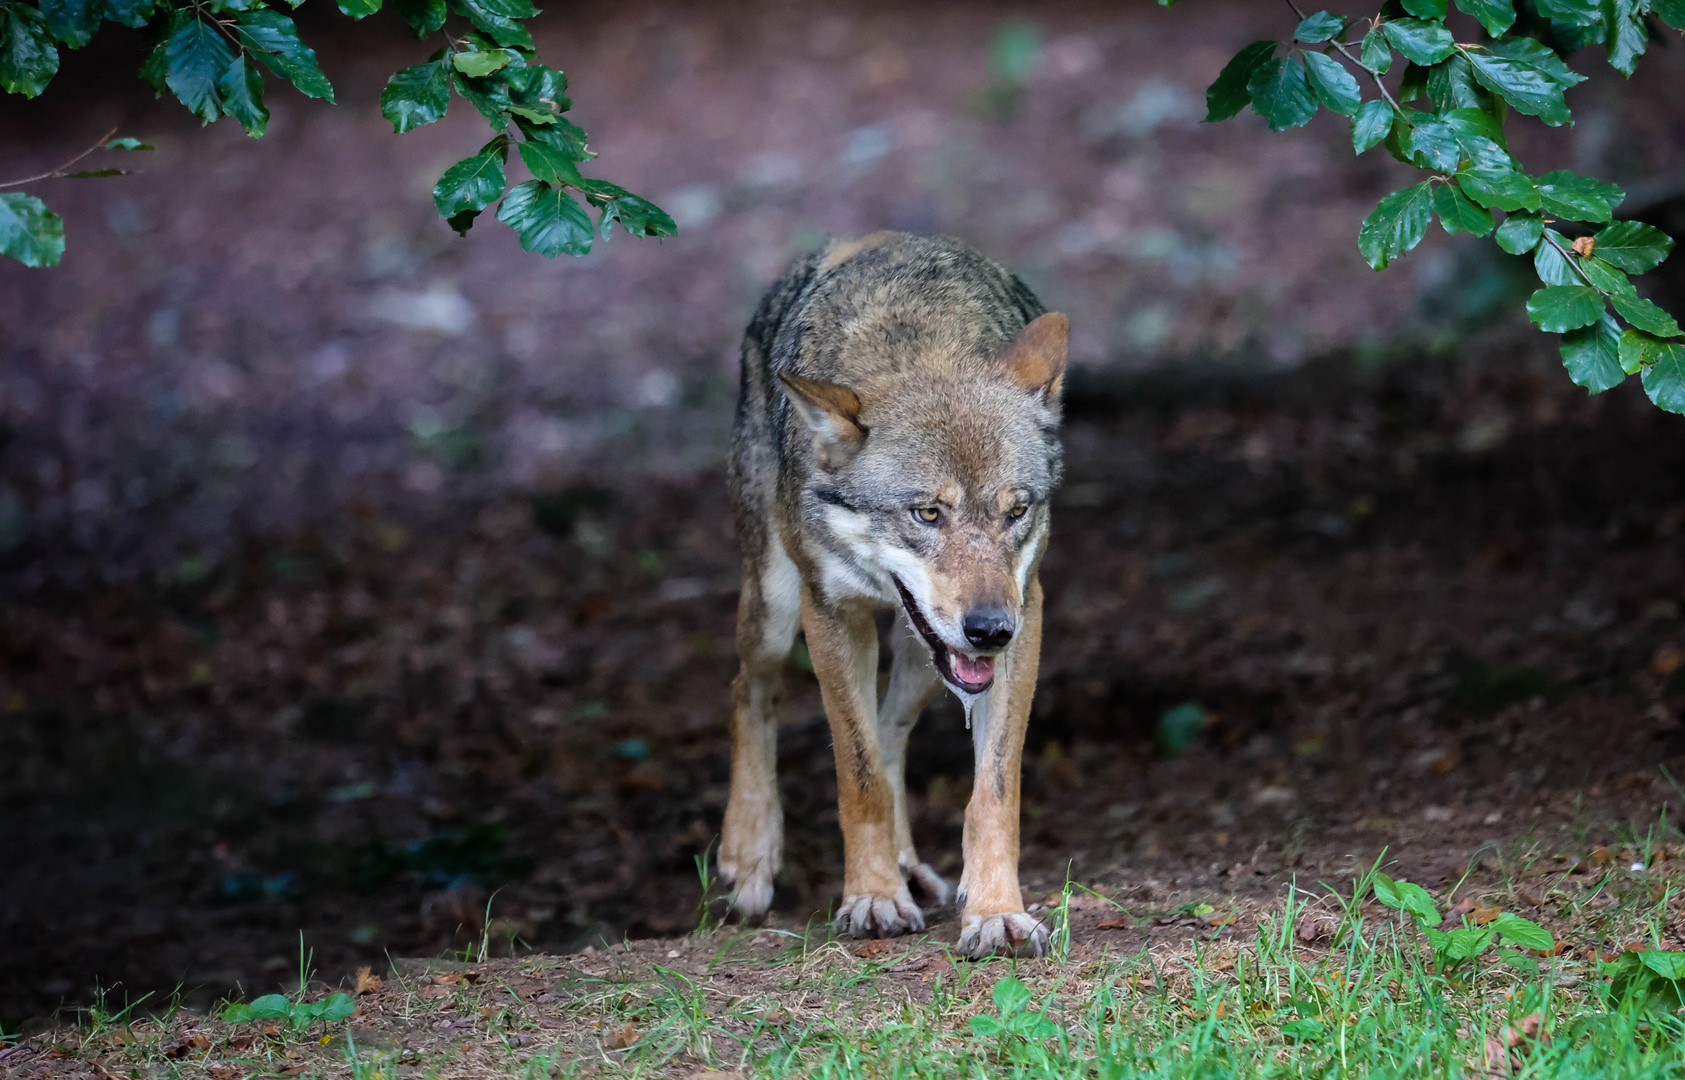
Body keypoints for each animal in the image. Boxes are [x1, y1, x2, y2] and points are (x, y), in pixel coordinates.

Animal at [714, 232, 1064, 957]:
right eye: (927, 513)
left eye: (1015, 512)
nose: (990, 630)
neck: (922, 343)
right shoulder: (831, 612)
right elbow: (860, 774)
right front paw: (871, 900)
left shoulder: (1030, 612)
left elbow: (993, 790)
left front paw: (995, 911)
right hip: (774, 607)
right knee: (749, 691)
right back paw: (751, 855)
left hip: (927, 663)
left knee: (889, 727)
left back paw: (907, 866)